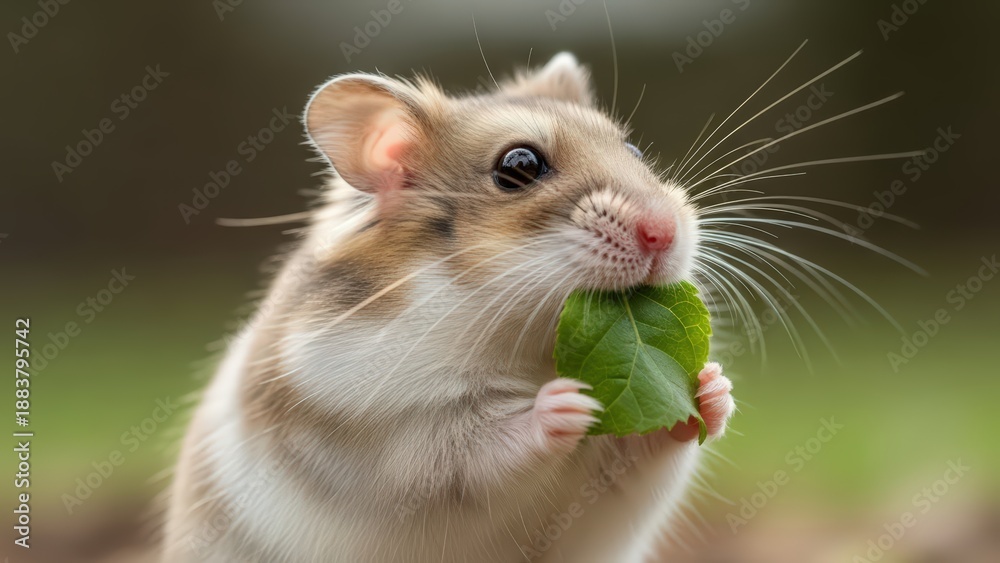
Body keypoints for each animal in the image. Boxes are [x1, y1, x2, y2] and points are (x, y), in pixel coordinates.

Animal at [163, 52, 735, 563]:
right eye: (519, 166)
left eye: (633, 149)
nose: (664, 232)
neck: (526, 341)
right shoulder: (396, 436)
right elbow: (473, 455)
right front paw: (567, 405)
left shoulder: (619, 478)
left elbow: (650, 448)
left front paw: (714, 387)